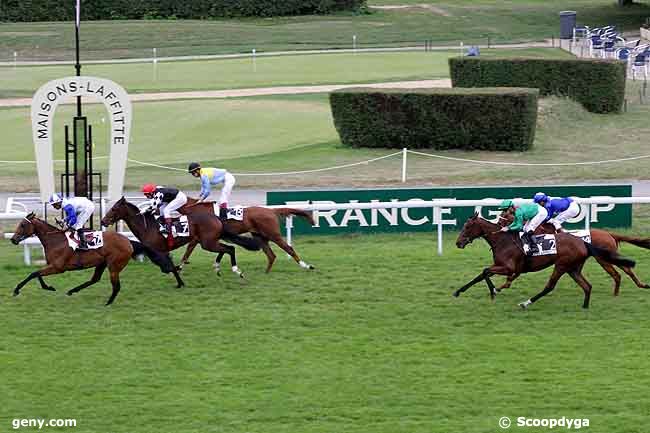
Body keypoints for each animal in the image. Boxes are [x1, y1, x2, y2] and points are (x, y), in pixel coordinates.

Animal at [100, 197, 256, 278]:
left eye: (114, 208)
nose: (103, 221)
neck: (147, 226)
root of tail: (216, 218)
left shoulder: (158, 250)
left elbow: (167, 266)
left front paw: (176, 270)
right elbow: (167, 265)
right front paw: (176, 269)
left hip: (207, 243)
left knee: (229, 249)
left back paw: (236, 270)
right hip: (208, 241)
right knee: (226, 249)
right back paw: (217, 267)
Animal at [178, 197, 316, 272]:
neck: (195, 209)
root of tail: (271, 210)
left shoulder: (201, 237)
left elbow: (188, 250)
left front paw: (179, 267)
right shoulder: (200, 238)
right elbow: (188, 251)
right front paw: (180, 267)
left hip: (273, 234)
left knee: (288, 248)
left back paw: (306, 265)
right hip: (260, 236)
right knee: (271, 255)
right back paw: (266, 272)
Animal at [450, 212, 632, 308]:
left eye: (467, 226)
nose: (458, 243)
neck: (503, 240)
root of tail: (583, 242)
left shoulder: (509, 267)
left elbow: (486, 271)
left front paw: (493, 291)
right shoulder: (500, 265)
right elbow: (480, 275)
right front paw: (459, 291)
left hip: (561, 265)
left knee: (550, 286)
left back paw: (526, 303)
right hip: (573, 268)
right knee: (587, 286)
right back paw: (585, 306)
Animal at [496, 208, 648, 296]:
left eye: (503, 215)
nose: (497, 224)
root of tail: (609, 234)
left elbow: (515, 272)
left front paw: (501, 287)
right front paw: (501, 287)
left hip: (603, 259)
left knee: (617, 274)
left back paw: (616, 293)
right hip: (610, 256)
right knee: (627, 269)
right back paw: (641, 285)